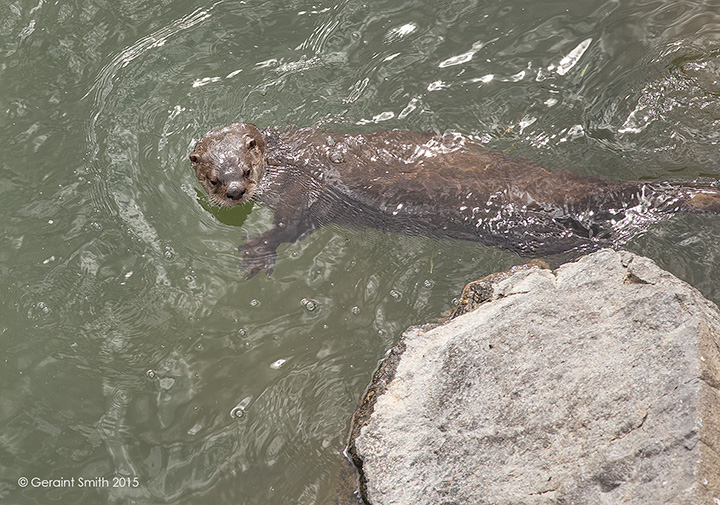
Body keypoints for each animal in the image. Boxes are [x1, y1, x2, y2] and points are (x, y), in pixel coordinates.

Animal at [190, 122, 720, 278]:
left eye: (245, 170)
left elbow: (292, 224)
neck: (287, 157)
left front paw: (258, 251)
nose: (235, 193)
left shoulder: (306, 190)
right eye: (213, 179)